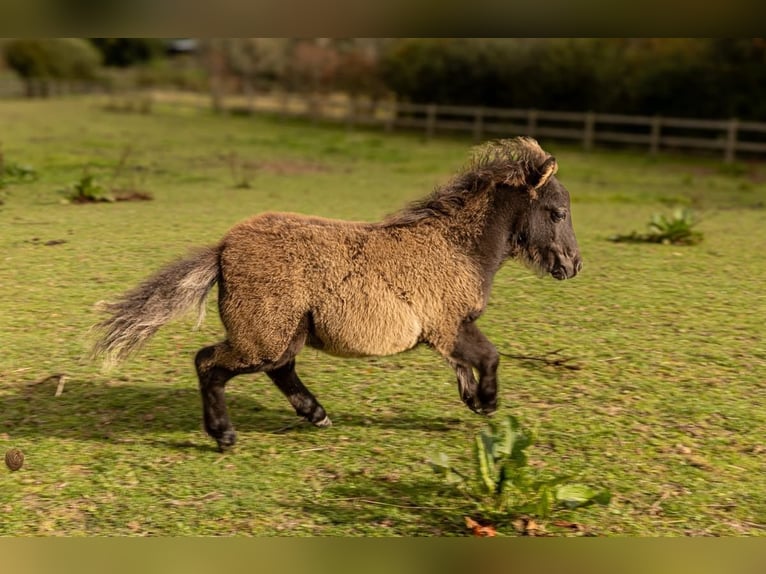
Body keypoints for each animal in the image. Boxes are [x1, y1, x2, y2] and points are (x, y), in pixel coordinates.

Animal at [91, 138, 584, 450]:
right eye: (558, 212)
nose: (573, 265)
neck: (455, 246)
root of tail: (223, 249)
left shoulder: (449, 331)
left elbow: (467, 365)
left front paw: (474, 400)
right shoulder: (448, 326)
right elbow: (489, 357)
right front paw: (488, 402)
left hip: (282, 336)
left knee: (279, 370)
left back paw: (317, 414)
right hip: (263, 337)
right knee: (209, 363)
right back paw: (224, 436)